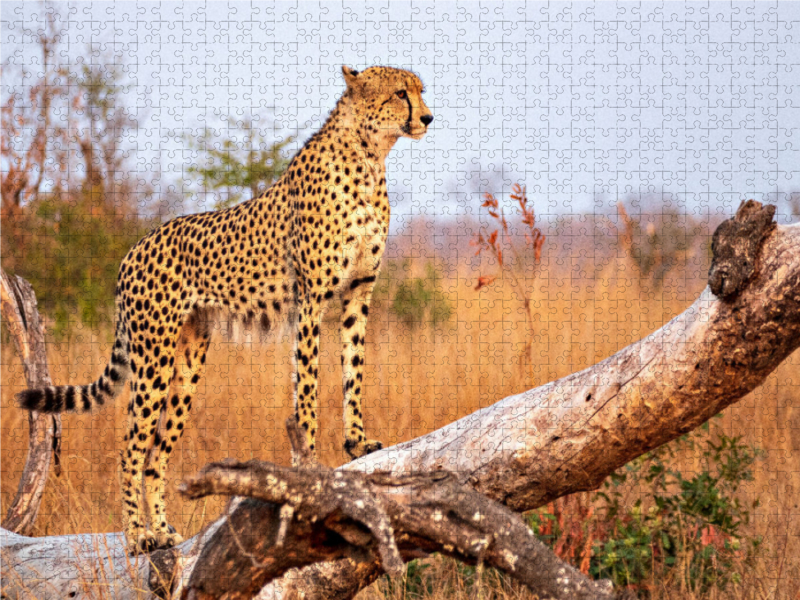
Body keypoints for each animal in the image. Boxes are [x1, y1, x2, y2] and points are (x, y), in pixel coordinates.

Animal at [17, 67, 432, 552]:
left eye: (420, 90)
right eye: (400, 93)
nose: (428, 116)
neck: (369, 157)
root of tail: (135, 246)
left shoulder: (357, 296)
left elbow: (354, 372)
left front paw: (358, 443)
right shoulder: (310, 303)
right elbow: (308, 389)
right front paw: (310, 467)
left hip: (187, 365)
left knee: (157, 452)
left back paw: (163, 530)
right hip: (152, 358)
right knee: (130, 445)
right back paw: (137, 535)